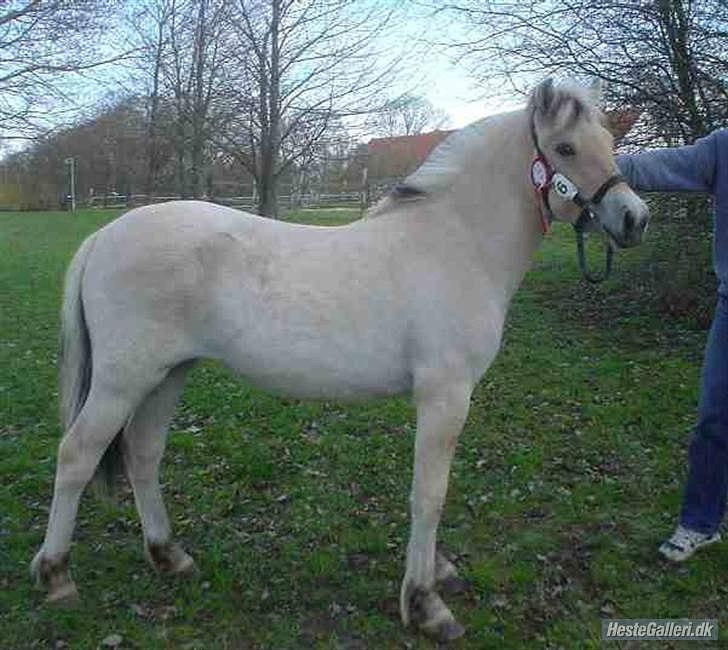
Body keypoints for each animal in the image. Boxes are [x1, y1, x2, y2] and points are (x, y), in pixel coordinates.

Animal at [32, 79, 648, 636]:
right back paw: (56, 574)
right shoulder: (445, 395)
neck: (456, 244)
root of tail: (103, 236)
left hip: (166, 376)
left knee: (142, 454)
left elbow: (431, 488)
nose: (634, 218)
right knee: (77, 455)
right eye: (565, 148)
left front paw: (435, 572)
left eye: (608, 142)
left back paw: (168, 554)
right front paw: (424, 604)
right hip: (122, 380)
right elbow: (430, 494)